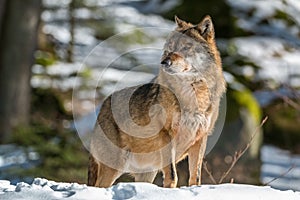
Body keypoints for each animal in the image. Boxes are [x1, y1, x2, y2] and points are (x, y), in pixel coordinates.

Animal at [86, 15, 225, 188]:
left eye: (186, 47)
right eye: (170, 47)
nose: (164, 62)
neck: (192, 95)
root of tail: (102, 106)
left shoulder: (200, 139)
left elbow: (195, 177)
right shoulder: (167, 135)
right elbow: (172, 174)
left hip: (145, 173)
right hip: (115, 167)